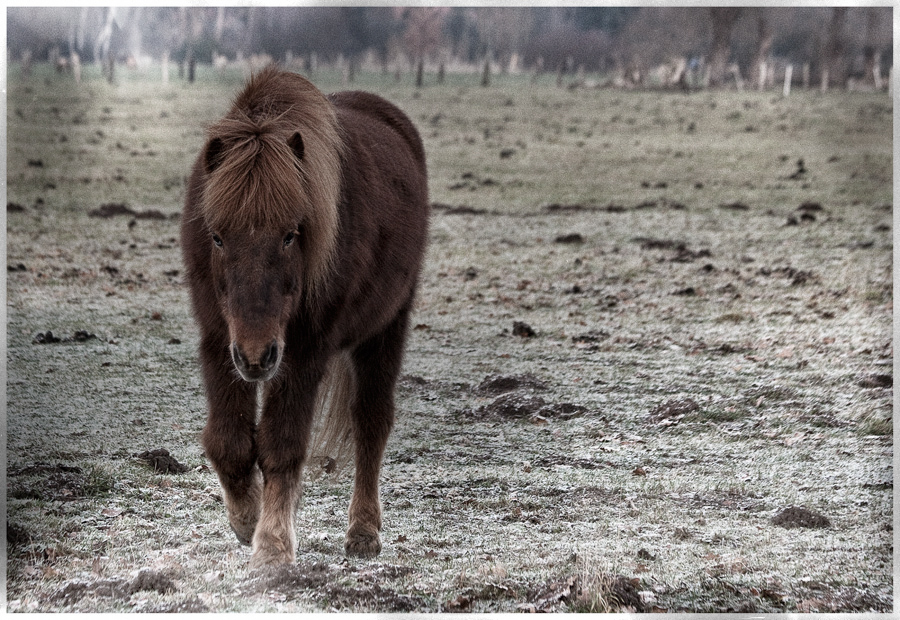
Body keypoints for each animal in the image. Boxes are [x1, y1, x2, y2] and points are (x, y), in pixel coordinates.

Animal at [182, 66, 428, 568]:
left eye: (291, 234)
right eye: (216, 237)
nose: (257, 356)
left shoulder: (305, 354)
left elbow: (282, 446)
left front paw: (272, 544)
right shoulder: (218, 340)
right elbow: (229, 442)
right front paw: (246, 518)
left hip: (385, 328)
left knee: (371, 423)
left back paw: (363, 531)